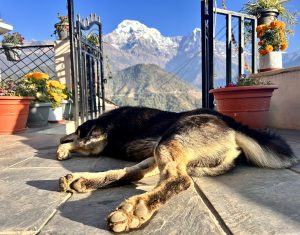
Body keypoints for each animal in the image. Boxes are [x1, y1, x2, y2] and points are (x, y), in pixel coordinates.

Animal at [56, 105, 298, 232]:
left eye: (75, 131)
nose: (60, 136)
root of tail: (233, 127)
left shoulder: (94, 141)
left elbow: (76, 143)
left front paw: (62, 149)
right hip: (162, 149)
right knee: (133, 172)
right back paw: (83, 180)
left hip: (168, 143)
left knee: (179, 179)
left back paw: (135, 209)